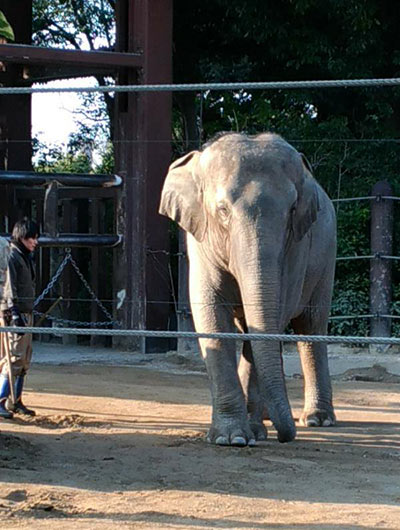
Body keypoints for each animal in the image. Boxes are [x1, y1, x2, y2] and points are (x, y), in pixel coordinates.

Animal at [158, 130, 336, 444]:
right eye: (222, 210)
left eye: (292, 210)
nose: (285, 436)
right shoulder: (199, 242)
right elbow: (212, 317)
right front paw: (231, 438)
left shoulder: (296, 248)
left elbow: (272, 318)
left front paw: (249, 434)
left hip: (326, 256)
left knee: (311, 326)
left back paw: (316, 420)